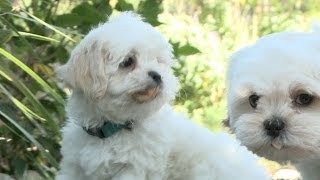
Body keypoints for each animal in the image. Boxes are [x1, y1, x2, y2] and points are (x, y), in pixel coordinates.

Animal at [55, 11, 268, 179]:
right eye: (128, 62)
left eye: (158, 61)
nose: (158, 75)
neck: (113, 129)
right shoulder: (74, 167)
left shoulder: (135, 169)